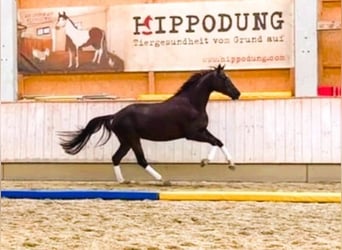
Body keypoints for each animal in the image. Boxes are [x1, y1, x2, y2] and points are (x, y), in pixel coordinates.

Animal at [58, 64, 240, 182]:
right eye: (224, 78)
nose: (237, 94)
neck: (192, 103)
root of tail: (114, 116)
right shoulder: (192, 134)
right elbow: (214, 142)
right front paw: (206, 162)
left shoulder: (202, 130)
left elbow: (219, 141)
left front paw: (230, 164)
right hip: (133, 139)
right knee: (140, 160)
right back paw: (162, 179)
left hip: (126, 141)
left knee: (116, 157)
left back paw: (123, 181)